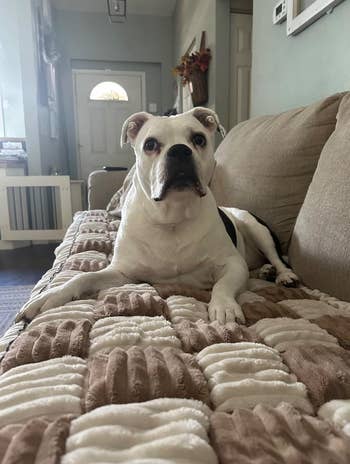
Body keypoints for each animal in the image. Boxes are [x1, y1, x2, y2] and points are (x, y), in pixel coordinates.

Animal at [19, 107, 298, 324]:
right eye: (150, 144)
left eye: (199, 139)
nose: (180, 150)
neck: (171, 216)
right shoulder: (122, 273)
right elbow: (83, 277)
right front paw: (51, 295)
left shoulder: (232, 264)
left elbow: (223, 285)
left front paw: (224, 306)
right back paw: (265, 271)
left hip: (255, 227)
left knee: (278, 256)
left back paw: (282, 274)